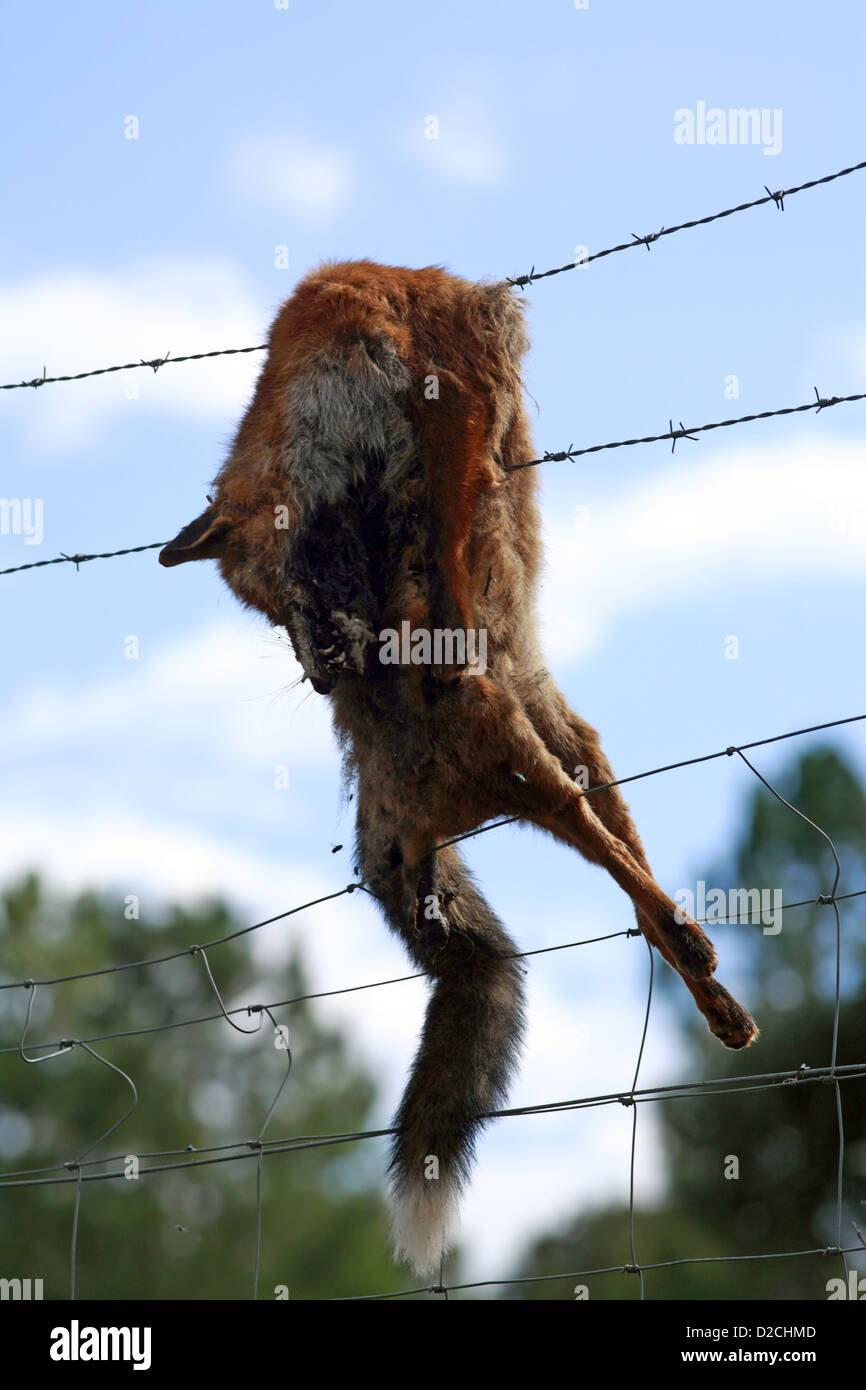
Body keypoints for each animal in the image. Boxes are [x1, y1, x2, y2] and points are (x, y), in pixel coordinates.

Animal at [159, 255, 756, 1273]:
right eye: (266, 614)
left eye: (287, 587)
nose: (327, 676)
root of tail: (415, 822)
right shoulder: (450, 404)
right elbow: (446, 517)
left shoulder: (450, 395)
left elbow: (450, 509)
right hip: (541, 762)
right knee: (619, 866)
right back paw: (696, 958)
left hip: (558, 755)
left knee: (624, 867)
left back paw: (705, 978)